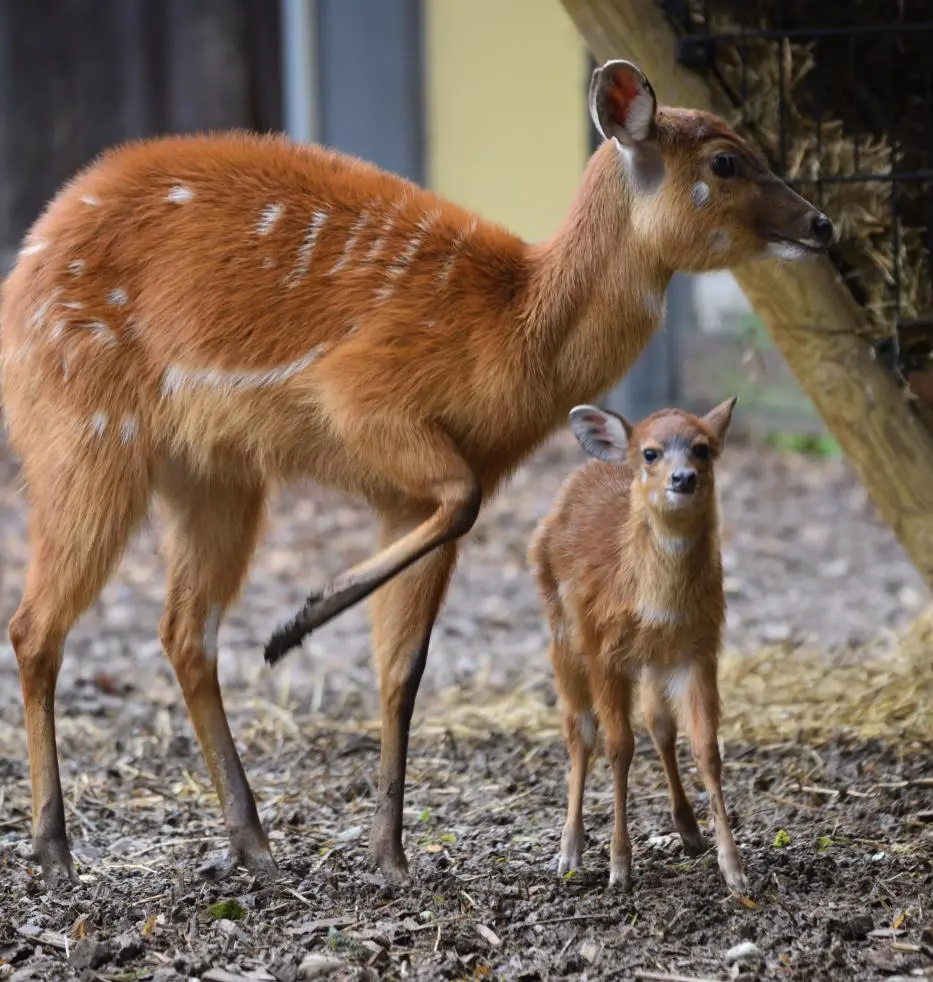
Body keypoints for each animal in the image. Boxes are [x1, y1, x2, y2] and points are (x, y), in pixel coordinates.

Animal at [528, 396, 748, 896]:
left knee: (659, 725)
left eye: (702, 448)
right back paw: (569, 851)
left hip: (651, 661)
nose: (682, 477)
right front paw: (619, 867)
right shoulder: (603, 649)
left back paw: (689, 830)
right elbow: (618, 747)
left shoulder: (698, 649)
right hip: (562, 633)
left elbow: (706, 748)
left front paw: (735, 871)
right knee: (580, 729)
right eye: (650, 453)